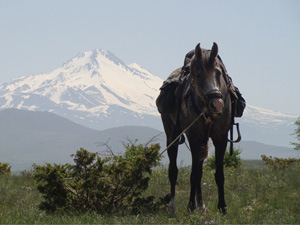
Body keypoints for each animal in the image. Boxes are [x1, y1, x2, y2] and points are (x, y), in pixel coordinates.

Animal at [158, 42, 233, 214]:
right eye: (198, 75)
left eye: (218, 73)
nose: (217, 104)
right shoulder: (194, 136)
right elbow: (194, 174)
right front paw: (190, 206)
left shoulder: (221, 137)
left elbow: (218, 174)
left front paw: (223, 207)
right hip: (172, 135)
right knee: (174, 170)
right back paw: (173, 206)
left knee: (199, 168)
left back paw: (201, 205)